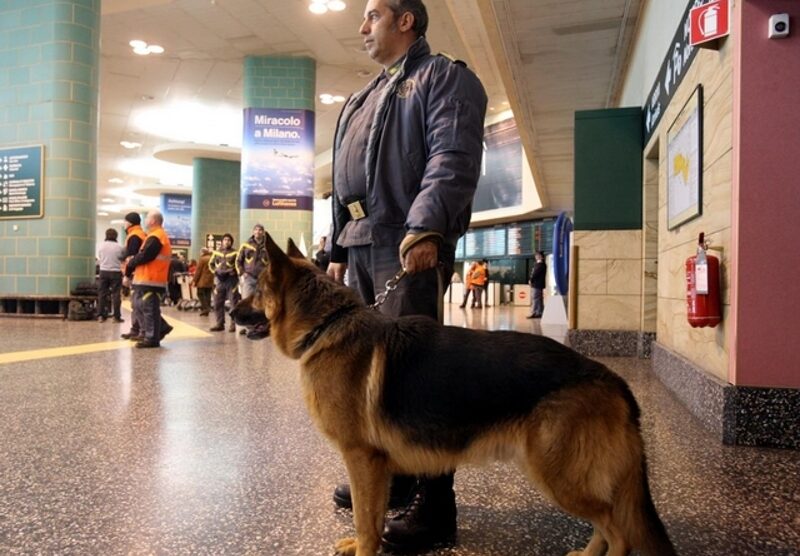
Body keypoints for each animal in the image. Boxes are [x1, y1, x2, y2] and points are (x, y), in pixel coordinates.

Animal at [250, 235, 676, 556]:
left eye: (253, 291)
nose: (236, 312)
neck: (326, 325)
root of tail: (612, 379)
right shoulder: (375, 465)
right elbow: (371, 516)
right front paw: (359, 543)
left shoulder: (361, 458)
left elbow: (365, 520)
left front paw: (363, 549)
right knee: (606, 526)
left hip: (558, 476)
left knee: (618, 533)